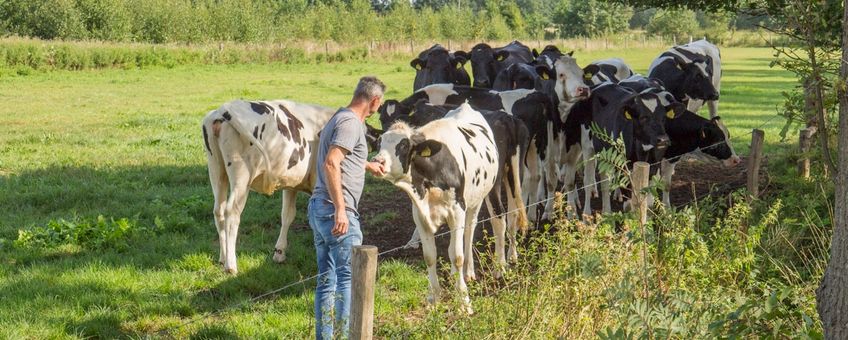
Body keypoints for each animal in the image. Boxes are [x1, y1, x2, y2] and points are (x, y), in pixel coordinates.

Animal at [202, 99, 334, 274]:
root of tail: (223, 109)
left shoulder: (291, 185)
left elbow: (287, 215)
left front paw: (279, 253)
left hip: (216, 169)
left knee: (218, 210)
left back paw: (223, 258)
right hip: (241, 175)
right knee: (232, 212)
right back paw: (231, 265)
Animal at [372, 104, 504, 314]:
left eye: (403, 145)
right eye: (379, 144)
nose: (377, 162)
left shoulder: (457, 211)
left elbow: (457, 256)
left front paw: (464, 302)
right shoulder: (420, 215)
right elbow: (430, 256)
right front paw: (433, 298)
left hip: (485, 193)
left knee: (480, 227)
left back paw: (483, 270)